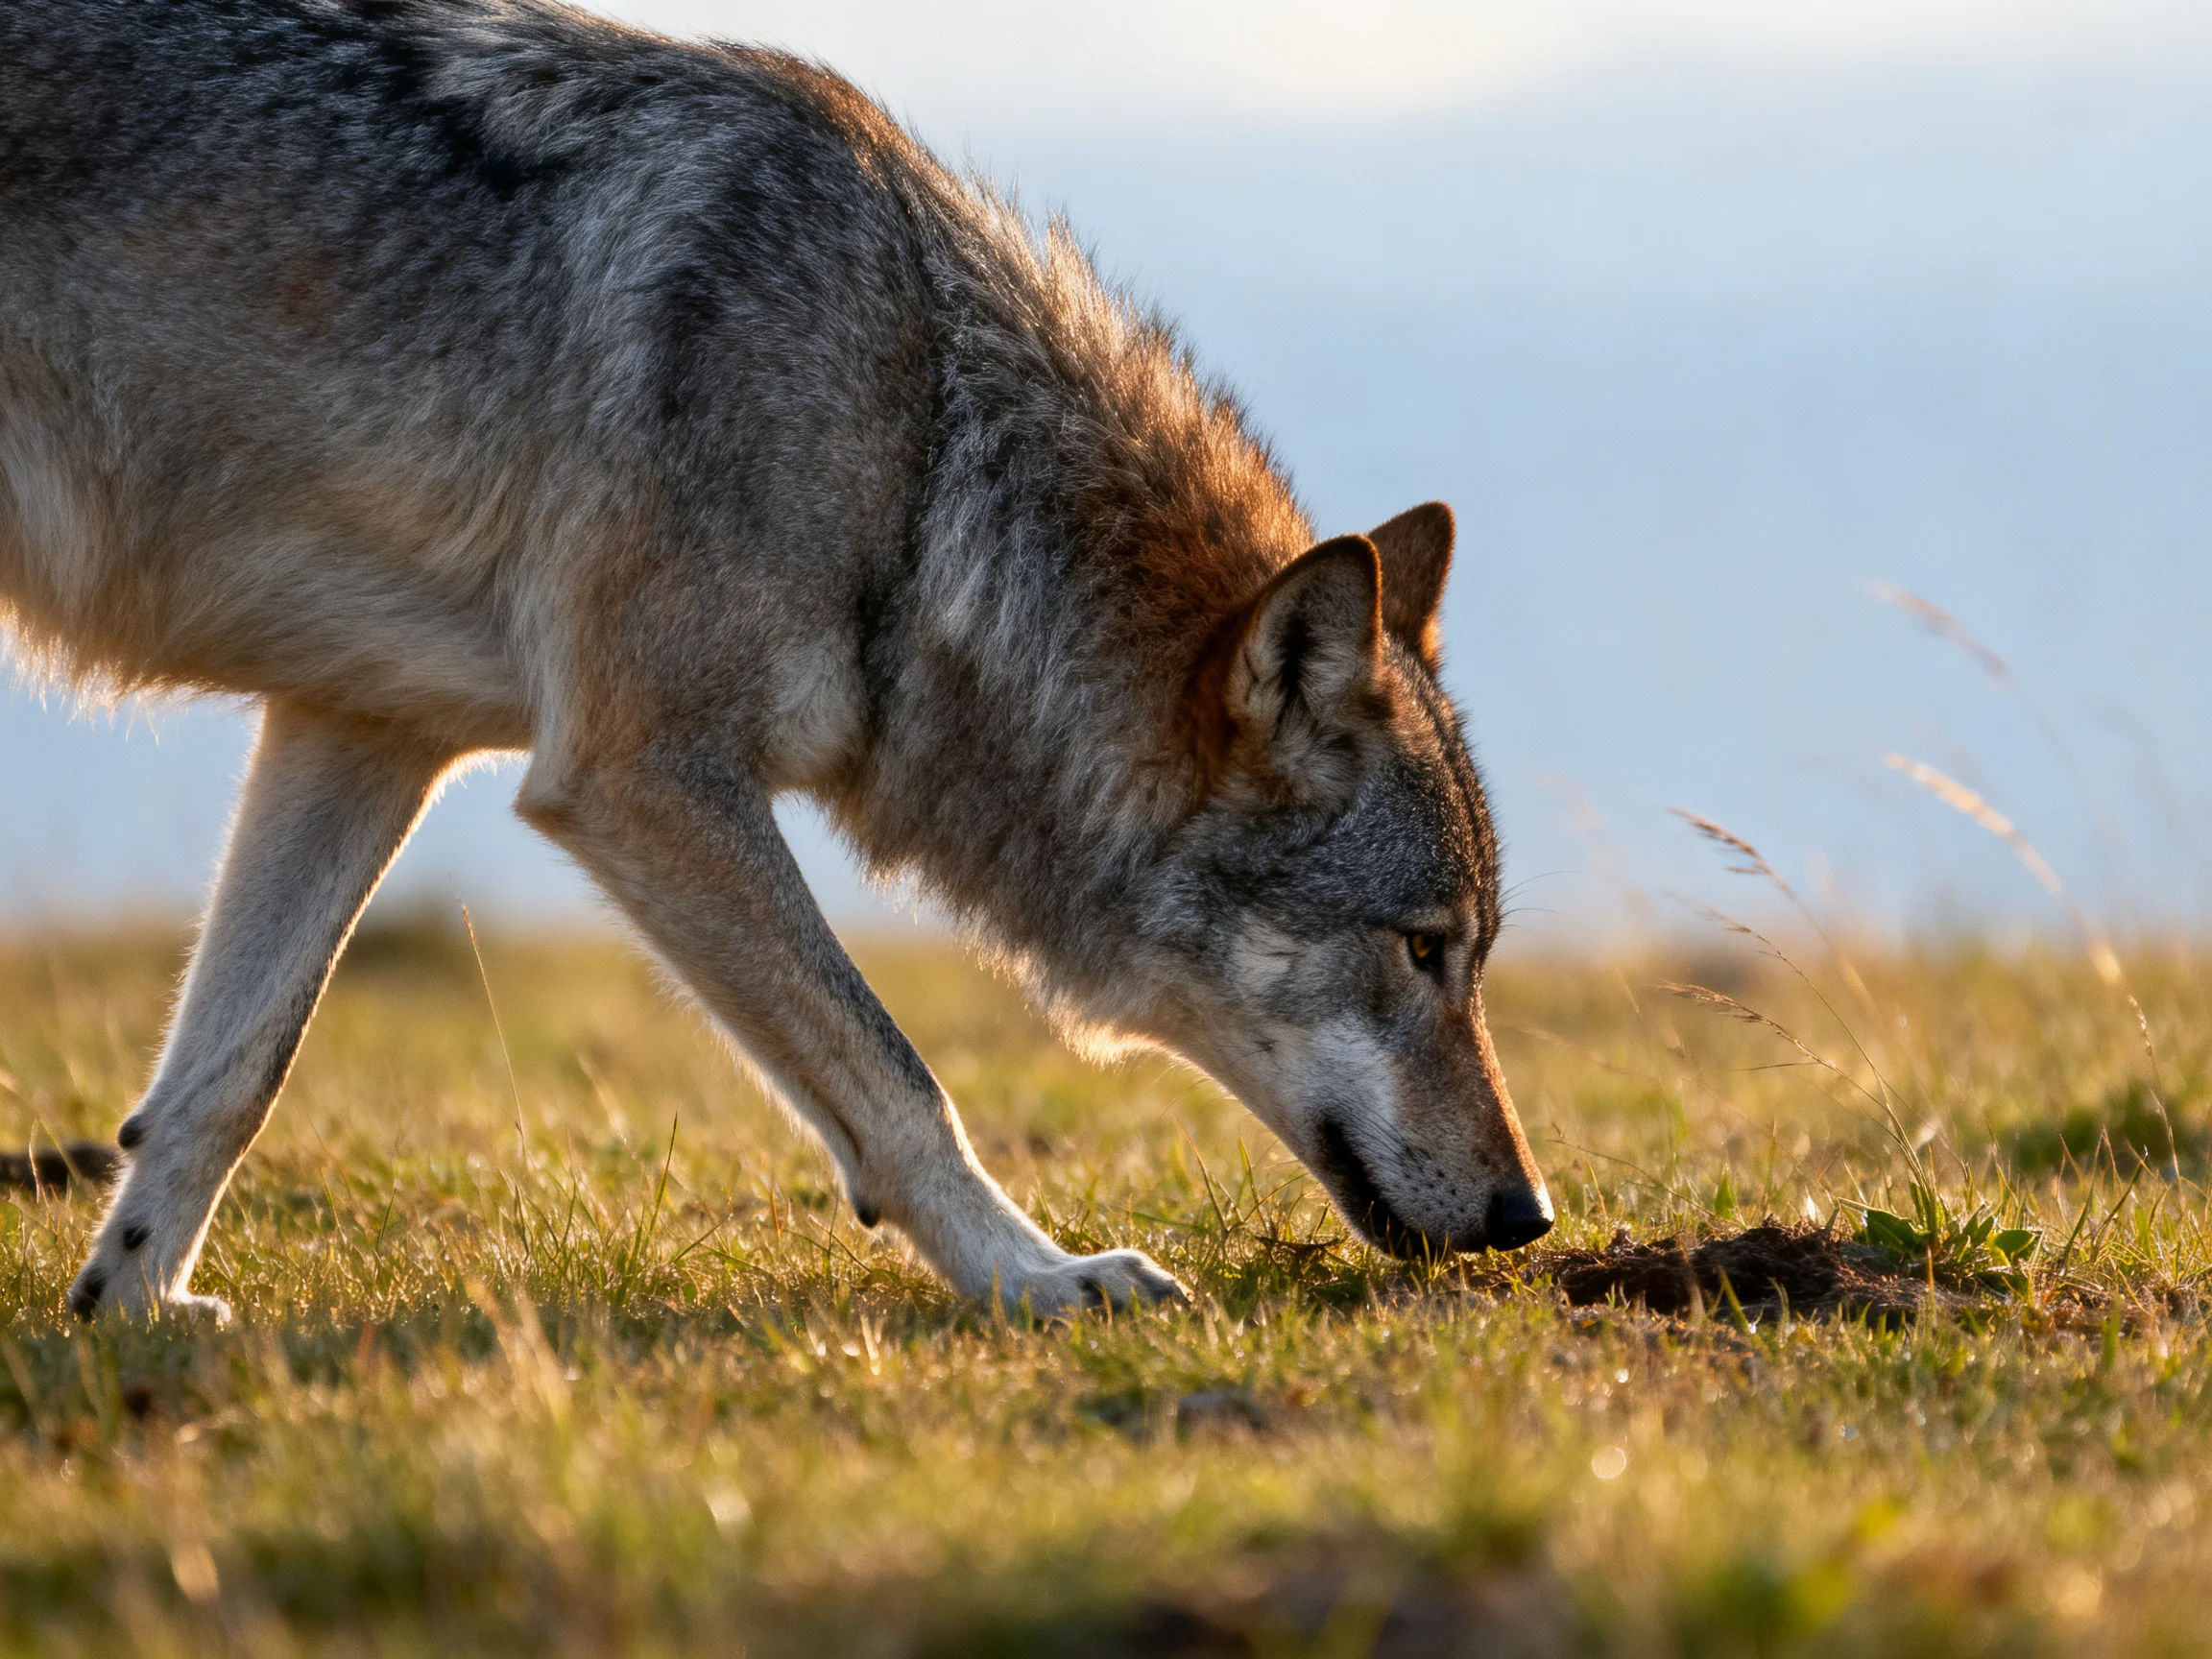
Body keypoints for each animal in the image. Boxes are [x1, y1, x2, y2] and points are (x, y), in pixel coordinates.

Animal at [0, 0, 1553, 1321]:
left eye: (1475, 957)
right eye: (1424, 949)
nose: (1530, 1216)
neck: (921, 456)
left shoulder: (363, 728)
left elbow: (232, 1072)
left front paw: (134, 1307)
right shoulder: (637, 776)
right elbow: (901, 1078)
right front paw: (1036, 1280)